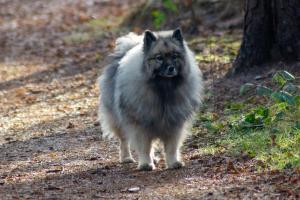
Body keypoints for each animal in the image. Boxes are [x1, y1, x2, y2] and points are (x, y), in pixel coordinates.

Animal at [98, 28, 204, 170]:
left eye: (175, 56)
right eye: (159, 58)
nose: (171, 68)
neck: (163, 88)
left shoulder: (174, 124)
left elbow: (171, 148)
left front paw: (173, 162)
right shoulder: (140, 125)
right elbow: (144, 147)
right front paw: (145, 164)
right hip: (118, 119)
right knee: (124, 140)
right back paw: (126, 158)